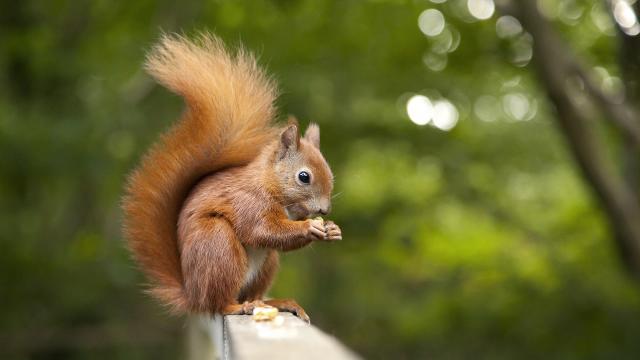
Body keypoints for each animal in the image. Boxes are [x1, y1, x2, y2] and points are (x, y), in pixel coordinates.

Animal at [120, 32, 340, 322]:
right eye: (304, 177)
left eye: (330, 173)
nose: (324, 211)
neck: (269, 184)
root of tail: (193, 295)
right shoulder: (248, 202)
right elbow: (264, 230)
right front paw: (309, 227)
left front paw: (332, 229)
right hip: (218, 245)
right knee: (220, 303)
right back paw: (237, 307)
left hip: (266, 264)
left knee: (252, 293)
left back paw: (276, 302)